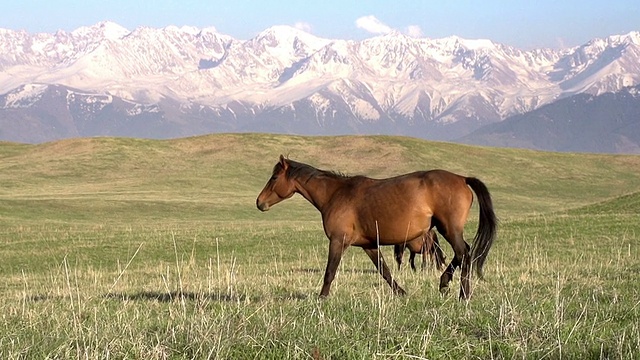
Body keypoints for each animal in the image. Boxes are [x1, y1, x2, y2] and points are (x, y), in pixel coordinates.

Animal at [258, 156, 498, 300]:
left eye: (274, 177)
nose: (259, 203)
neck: (336, 194)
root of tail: (462, 178)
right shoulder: (369, 245)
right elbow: (385, 271)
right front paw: (401, 293)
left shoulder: (338, 241)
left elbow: (330, 272)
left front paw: (322, 298)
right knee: (462, 254)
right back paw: (444, 283)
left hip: (448, 230)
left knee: (463, 254)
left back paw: (463, 295)